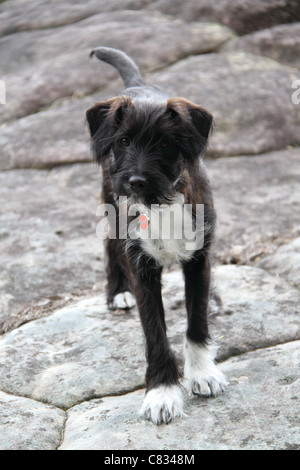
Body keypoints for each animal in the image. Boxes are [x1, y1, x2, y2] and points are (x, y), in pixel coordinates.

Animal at [86, 47, 227, 426]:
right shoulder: (142, 268)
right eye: (123, 141)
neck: (161, 204)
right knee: (109, 248)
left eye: (164, 143)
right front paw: (162, 393)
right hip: (109, 206)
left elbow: (196, 320)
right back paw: (117, 292)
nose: (135, 182)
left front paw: (202, 372)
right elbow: (155, 333)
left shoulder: (198, 259)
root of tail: (138, 84)